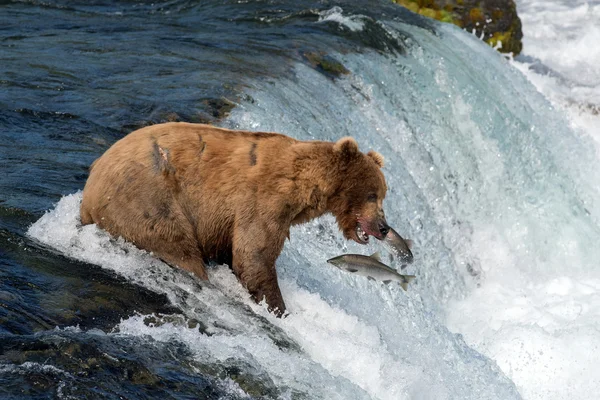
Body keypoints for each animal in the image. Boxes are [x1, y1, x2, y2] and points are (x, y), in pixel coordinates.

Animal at [79, 122, 390, 316]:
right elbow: (254, 255)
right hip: (150, 200)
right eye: (372, 194)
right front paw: (278, 307)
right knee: (179, 249)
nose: (385, 228)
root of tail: (91, 183)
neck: (305, 187)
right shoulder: (263, 200)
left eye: (383, 194)